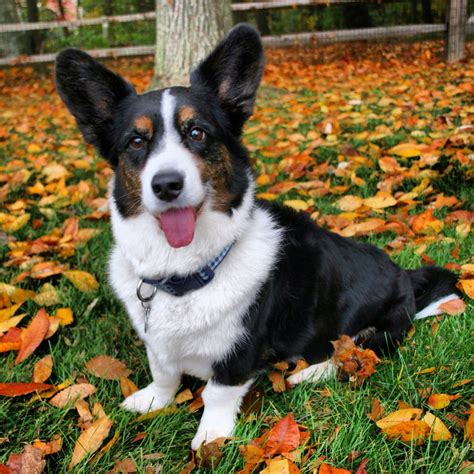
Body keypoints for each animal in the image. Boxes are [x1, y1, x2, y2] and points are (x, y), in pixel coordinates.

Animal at [55, 24, 460, 450]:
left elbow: (218, 392)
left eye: (197, 132)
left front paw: (211, 438)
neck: (186, 274)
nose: (166, 184)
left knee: (356, 353)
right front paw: (153, 400)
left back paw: (308, 372)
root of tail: (405, 274)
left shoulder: (239, 352)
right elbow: (164, 373)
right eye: (136, 141)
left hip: (383, 329)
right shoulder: (158, 345)